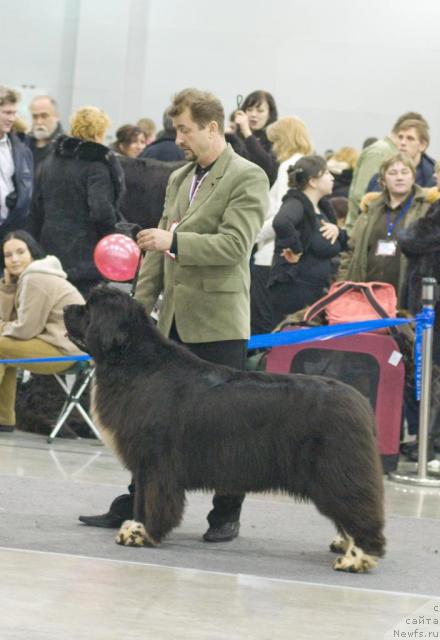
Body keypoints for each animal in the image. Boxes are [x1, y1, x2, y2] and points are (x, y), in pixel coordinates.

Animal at [64, 288, 384, 572]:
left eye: (88, 308)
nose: (66, 307)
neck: (135, 363)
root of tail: (359, 402)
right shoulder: (146, 464)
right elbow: (142, 496)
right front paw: (133, 527)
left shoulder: (154, 462)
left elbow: (151, 499)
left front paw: (139, 533)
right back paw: (344, 544)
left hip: (337, 470)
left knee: (360, 509)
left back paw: (355, 558)